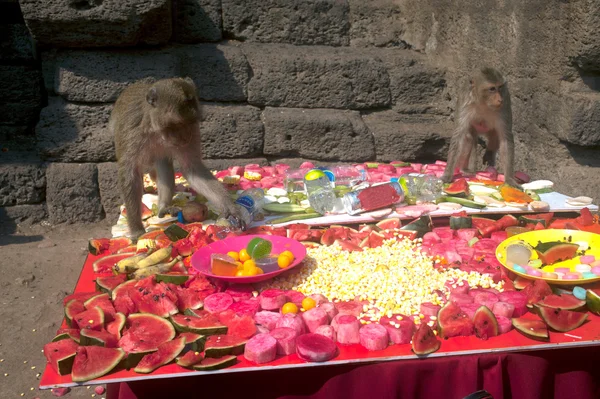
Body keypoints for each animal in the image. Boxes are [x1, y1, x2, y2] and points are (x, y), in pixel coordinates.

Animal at [110, 77, 244, 241]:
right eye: (179, 123)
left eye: (191, 122)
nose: (187, 137)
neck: (155, 129)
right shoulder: (132, 133)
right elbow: (131, 174)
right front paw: (137, 230)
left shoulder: (194, 131)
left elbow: (192, 168)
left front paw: (230, 209)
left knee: (162, 161)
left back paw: (164, 206)